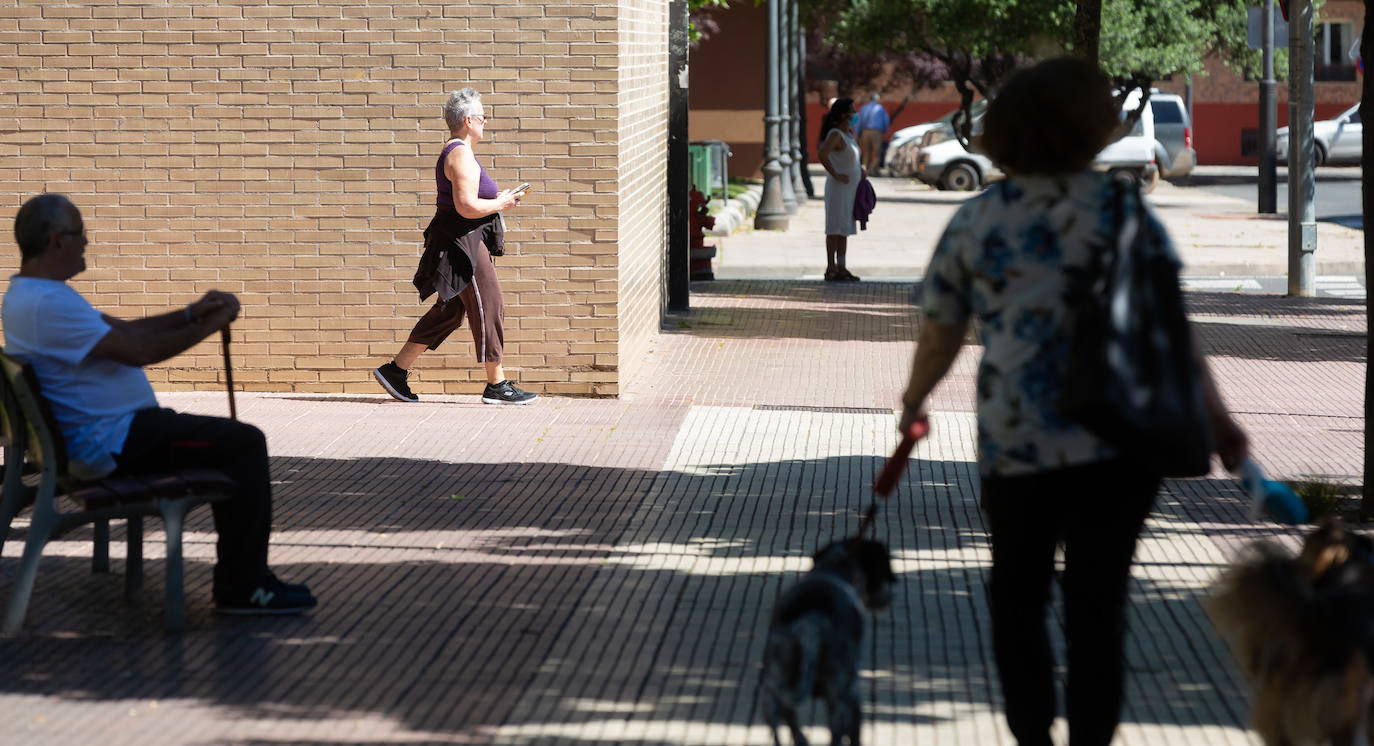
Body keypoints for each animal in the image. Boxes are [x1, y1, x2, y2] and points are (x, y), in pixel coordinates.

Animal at [758, 541, 895, 741]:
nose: (890, 596)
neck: (832, 569)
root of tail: (809, 624)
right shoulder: (853, 697)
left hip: (773, 692)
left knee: (784, 726)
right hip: (840, 700)